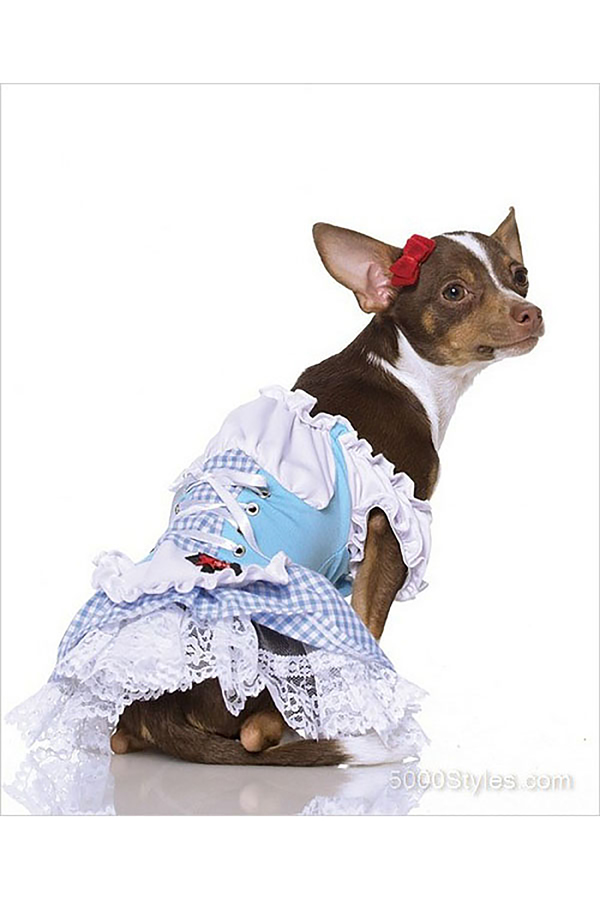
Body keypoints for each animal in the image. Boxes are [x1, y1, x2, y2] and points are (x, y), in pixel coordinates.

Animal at [111, 208, 543, 766]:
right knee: (254, 732)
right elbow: (369, 623)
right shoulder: (391, 531)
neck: (409, 374)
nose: (530, 312)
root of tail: (158, 708)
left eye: (520, 275)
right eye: (454, 292)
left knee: (121, 739)